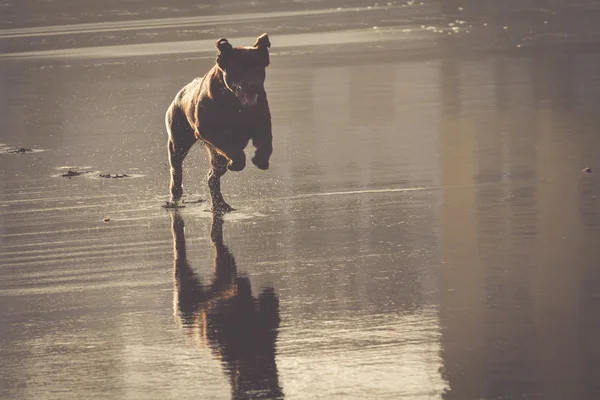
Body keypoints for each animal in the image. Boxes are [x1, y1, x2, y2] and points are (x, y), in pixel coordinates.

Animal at [166, 33, 274, 212]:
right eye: (238, 67)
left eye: (258, 66)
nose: (254, 86)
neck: (234, 104)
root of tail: (180, 93)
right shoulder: (207, 130)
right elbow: (233, 151)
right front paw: (236, 163)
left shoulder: (262, 122)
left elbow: (266, 142)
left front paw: (261, 159)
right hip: (178, 140)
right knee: (177, 169)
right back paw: (176, 195)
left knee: (212, 177)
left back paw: (220, 204)